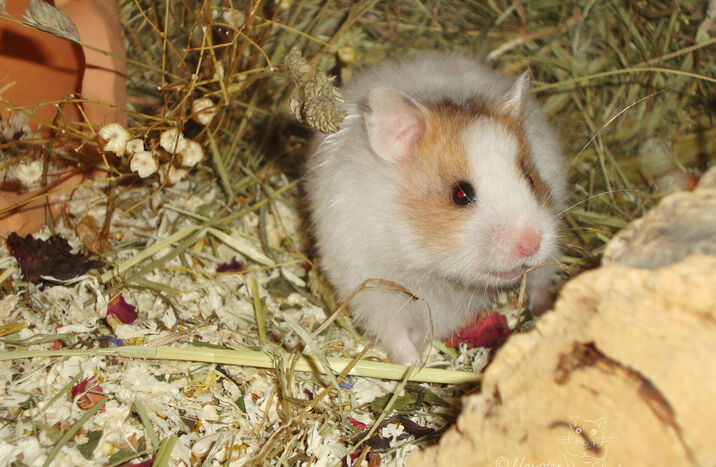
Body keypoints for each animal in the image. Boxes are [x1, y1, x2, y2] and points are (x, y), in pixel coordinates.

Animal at [305, 52, 566, 365]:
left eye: (529, 178)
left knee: (539, 280)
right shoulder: (371, 287)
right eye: (460, 194)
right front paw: (414, 364)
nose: (530, 244)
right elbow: (394, 334)